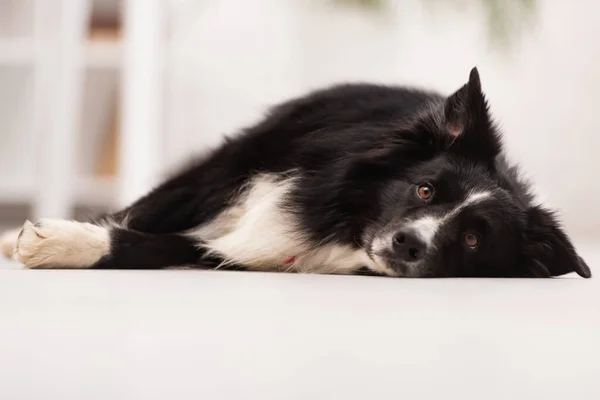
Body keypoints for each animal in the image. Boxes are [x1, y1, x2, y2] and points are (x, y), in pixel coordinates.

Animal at [0, 67, 592, 278]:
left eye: (472, 239)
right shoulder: (233, 174)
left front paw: (66, 245)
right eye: (425, 190)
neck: (342, 223)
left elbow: (170, 246)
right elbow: (139, 215)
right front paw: (57, 238)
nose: (408, 244)